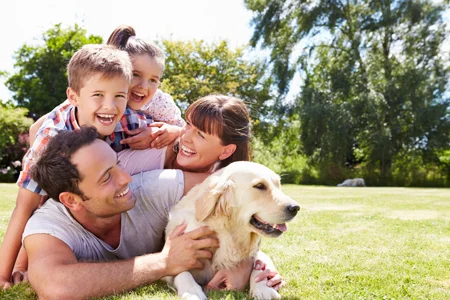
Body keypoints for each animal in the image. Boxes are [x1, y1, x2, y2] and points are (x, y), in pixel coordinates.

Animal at [164, 162, 298, 300]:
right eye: (259, 186)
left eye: (278, 185)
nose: (295, 208)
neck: (227, 234)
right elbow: (182, 271)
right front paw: (192, 292)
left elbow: (258, 264)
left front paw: (263, 289)